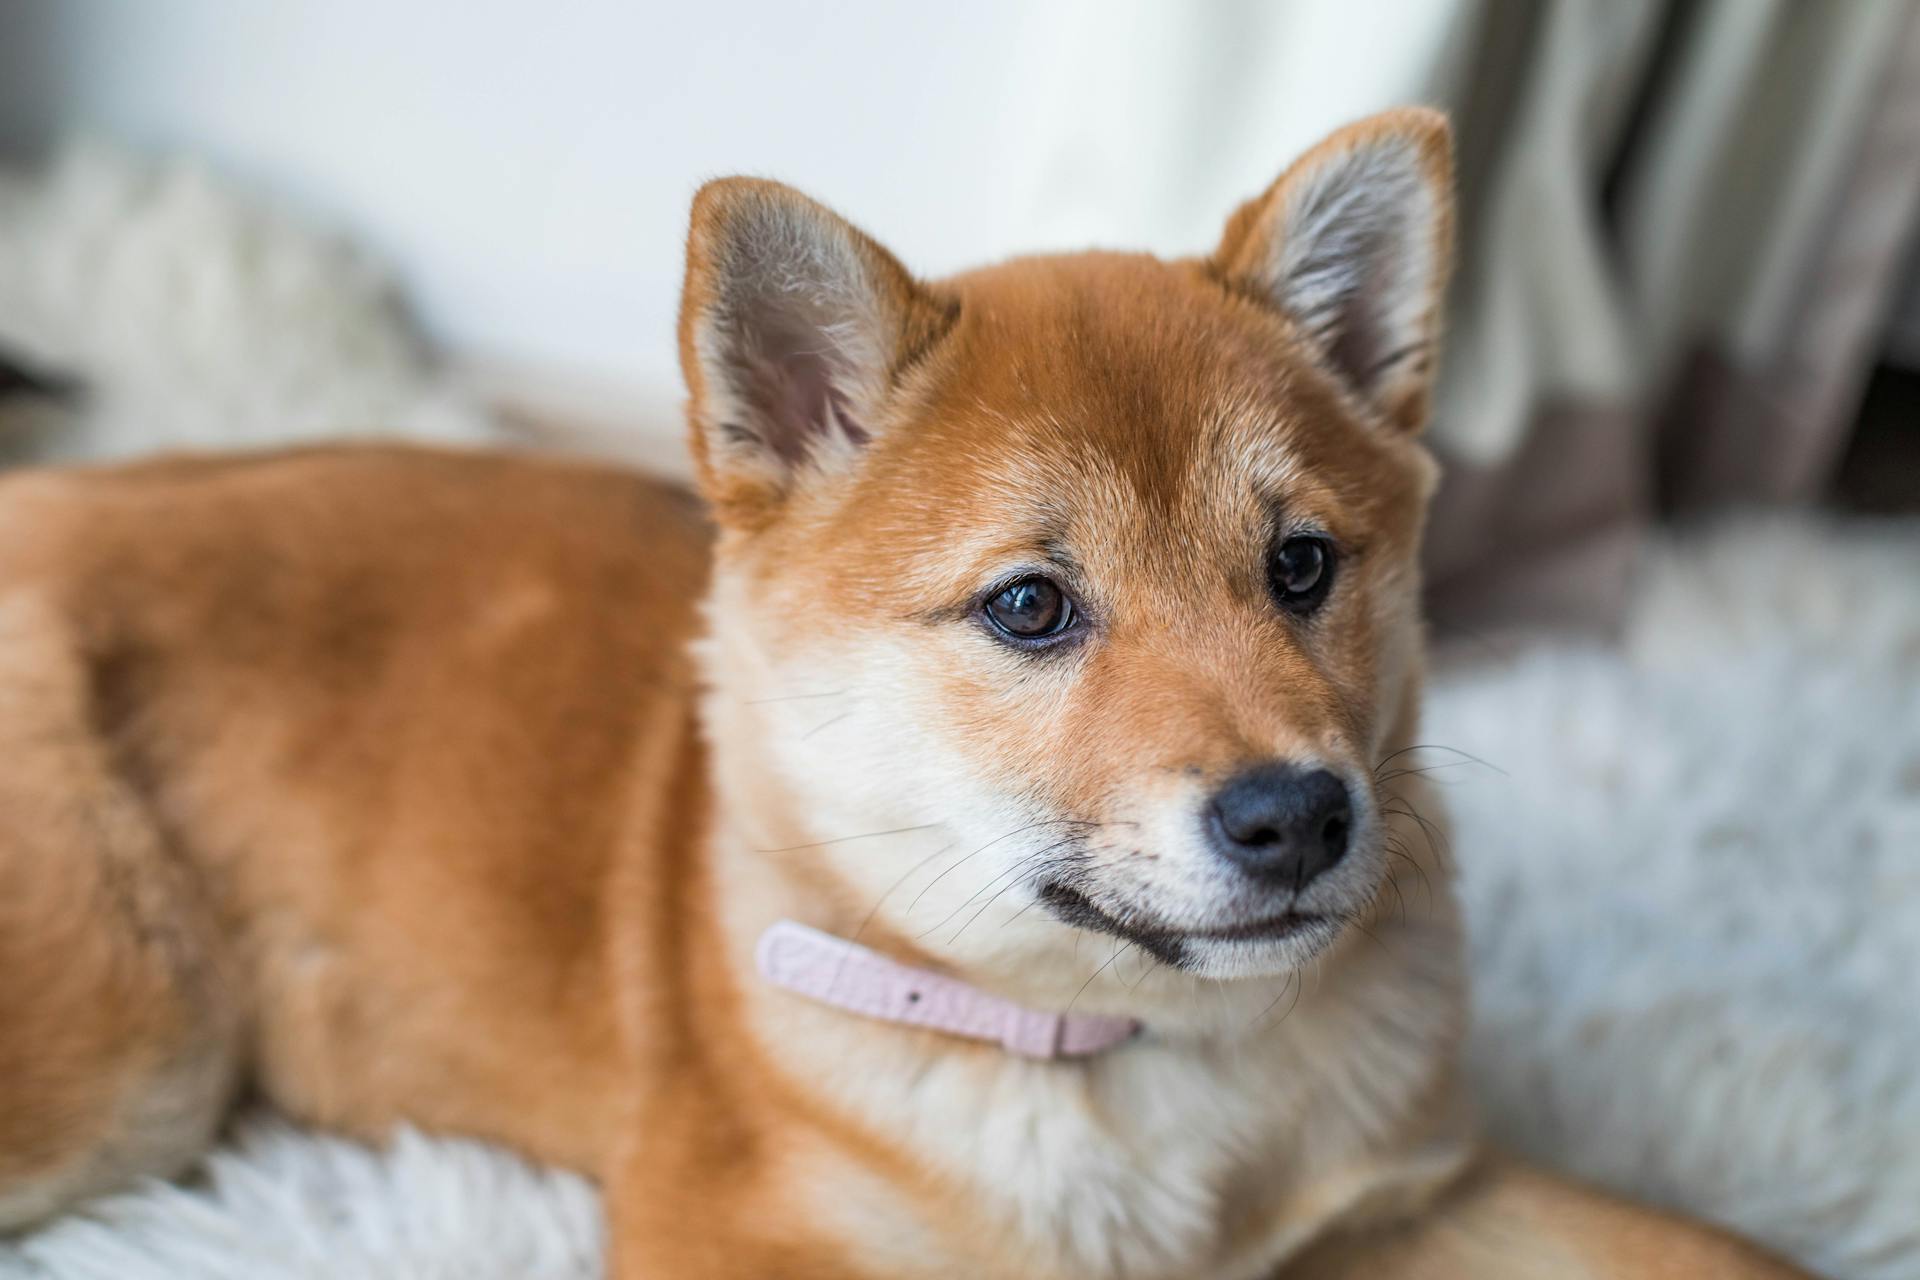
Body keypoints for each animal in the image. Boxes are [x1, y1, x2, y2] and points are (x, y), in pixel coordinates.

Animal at [0, 112, 1797, 1280]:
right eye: (1029, 606)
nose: (1296, 818)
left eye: (1300, 566)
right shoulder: (732, 1231)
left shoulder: (1416, 1195)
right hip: (134, 1057)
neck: (1138, 1071)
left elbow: (1720, 1254)